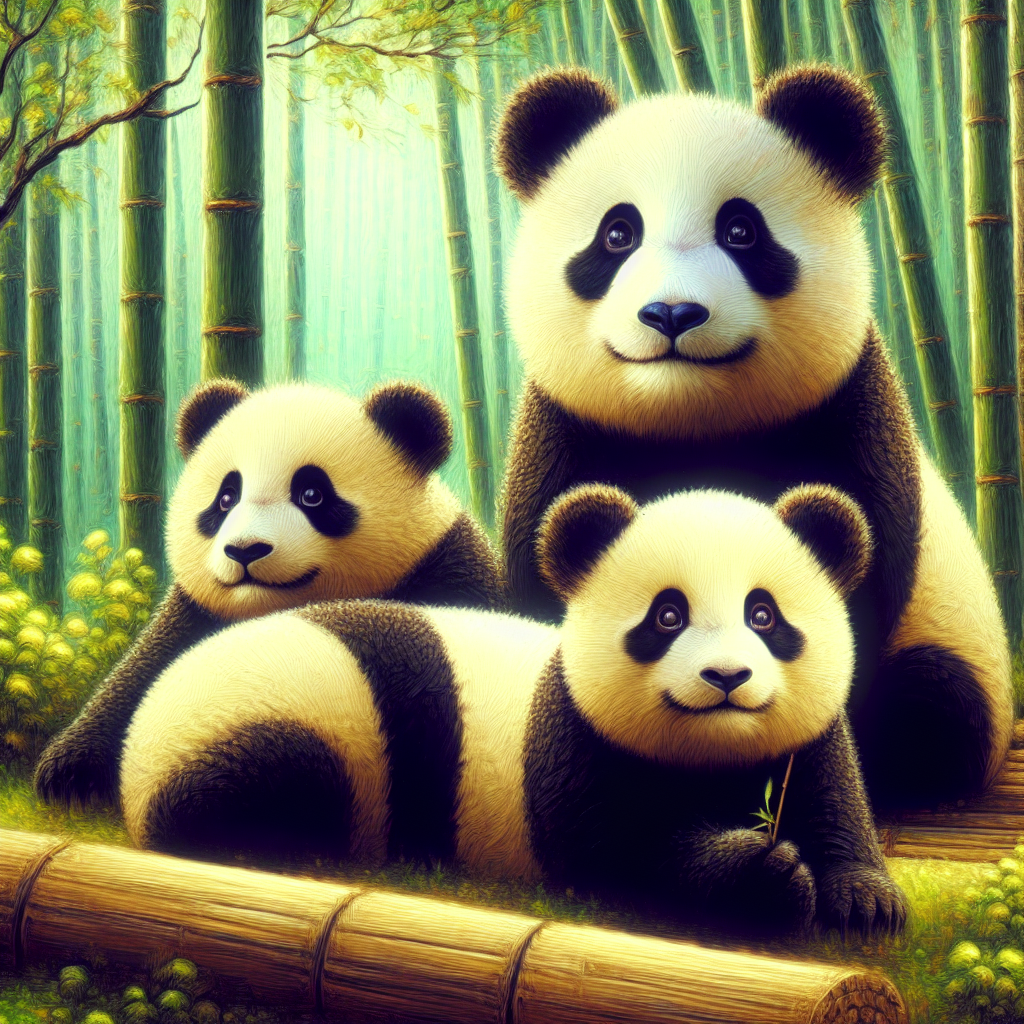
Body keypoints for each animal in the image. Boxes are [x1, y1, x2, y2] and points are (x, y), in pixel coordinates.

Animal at [35, 378, 504, 809]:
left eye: (312, 494)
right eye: (226, 497)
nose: (245, 549)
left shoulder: (443, 569)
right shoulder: (192, 613)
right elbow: (138, 675)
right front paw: (70, 775)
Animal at [118, 483, 905, 938]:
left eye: (764, 615)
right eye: (668, 615)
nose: (727, 677)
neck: (711, 753)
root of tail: (136, 738)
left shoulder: (808, 735)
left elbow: (836, 801)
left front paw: (863, 901)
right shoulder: (576, 736)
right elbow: (616, 853)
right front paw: (764, 875)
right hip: (286, 717)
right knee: (274, 782)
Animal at [493, 63, 1012, 813]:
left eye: (741, 230)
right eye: (618, 234)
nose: (672, 312)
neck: (693, 423)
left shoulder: (845, 408)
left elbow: (848, 581)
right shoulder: (568, 425)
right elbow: (550, 560)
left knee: (942, 704)